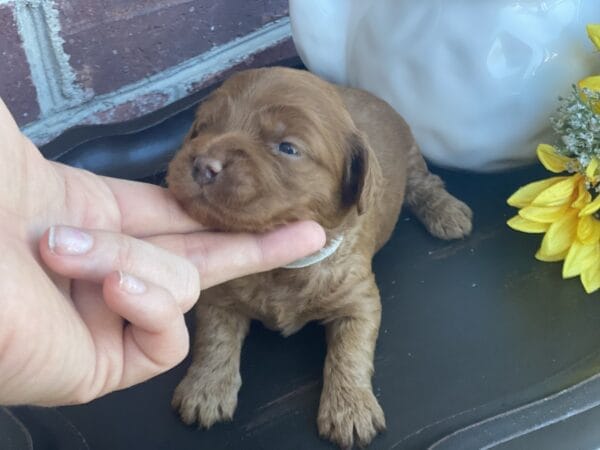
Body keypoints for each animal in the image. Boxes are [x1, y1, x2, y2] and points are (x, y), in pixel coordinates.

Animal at [165, 65, 474, 448]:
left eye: (287, 148)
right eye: (202, 129)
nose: (203, 164)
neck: (281, 269)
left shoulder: (359, 301)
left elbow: (350, 352)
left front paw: (350, 408)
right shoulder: (218, 297)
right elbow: (214, 340)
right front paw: (205, 389)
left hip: (412, 153)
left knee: (425, 183)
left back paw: (447, 212)